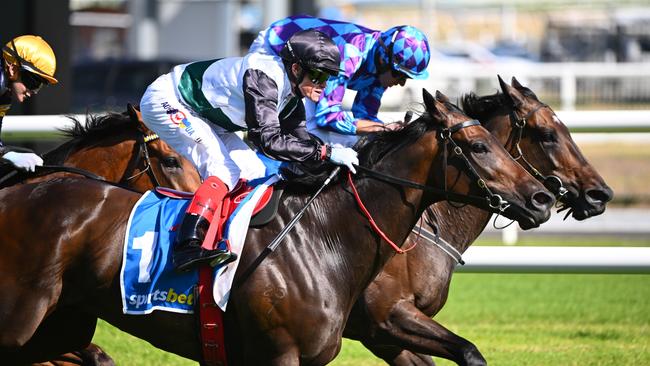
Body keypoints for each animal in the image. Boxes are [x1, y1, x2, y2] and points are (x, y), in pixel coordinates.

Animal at [0, 89, 552, 366]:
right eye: (479, 147)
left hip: (56, 328)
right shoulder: (289, 352)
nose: (542, 198)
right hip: (22, 321)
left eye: (500, 143)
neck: (324, 238)